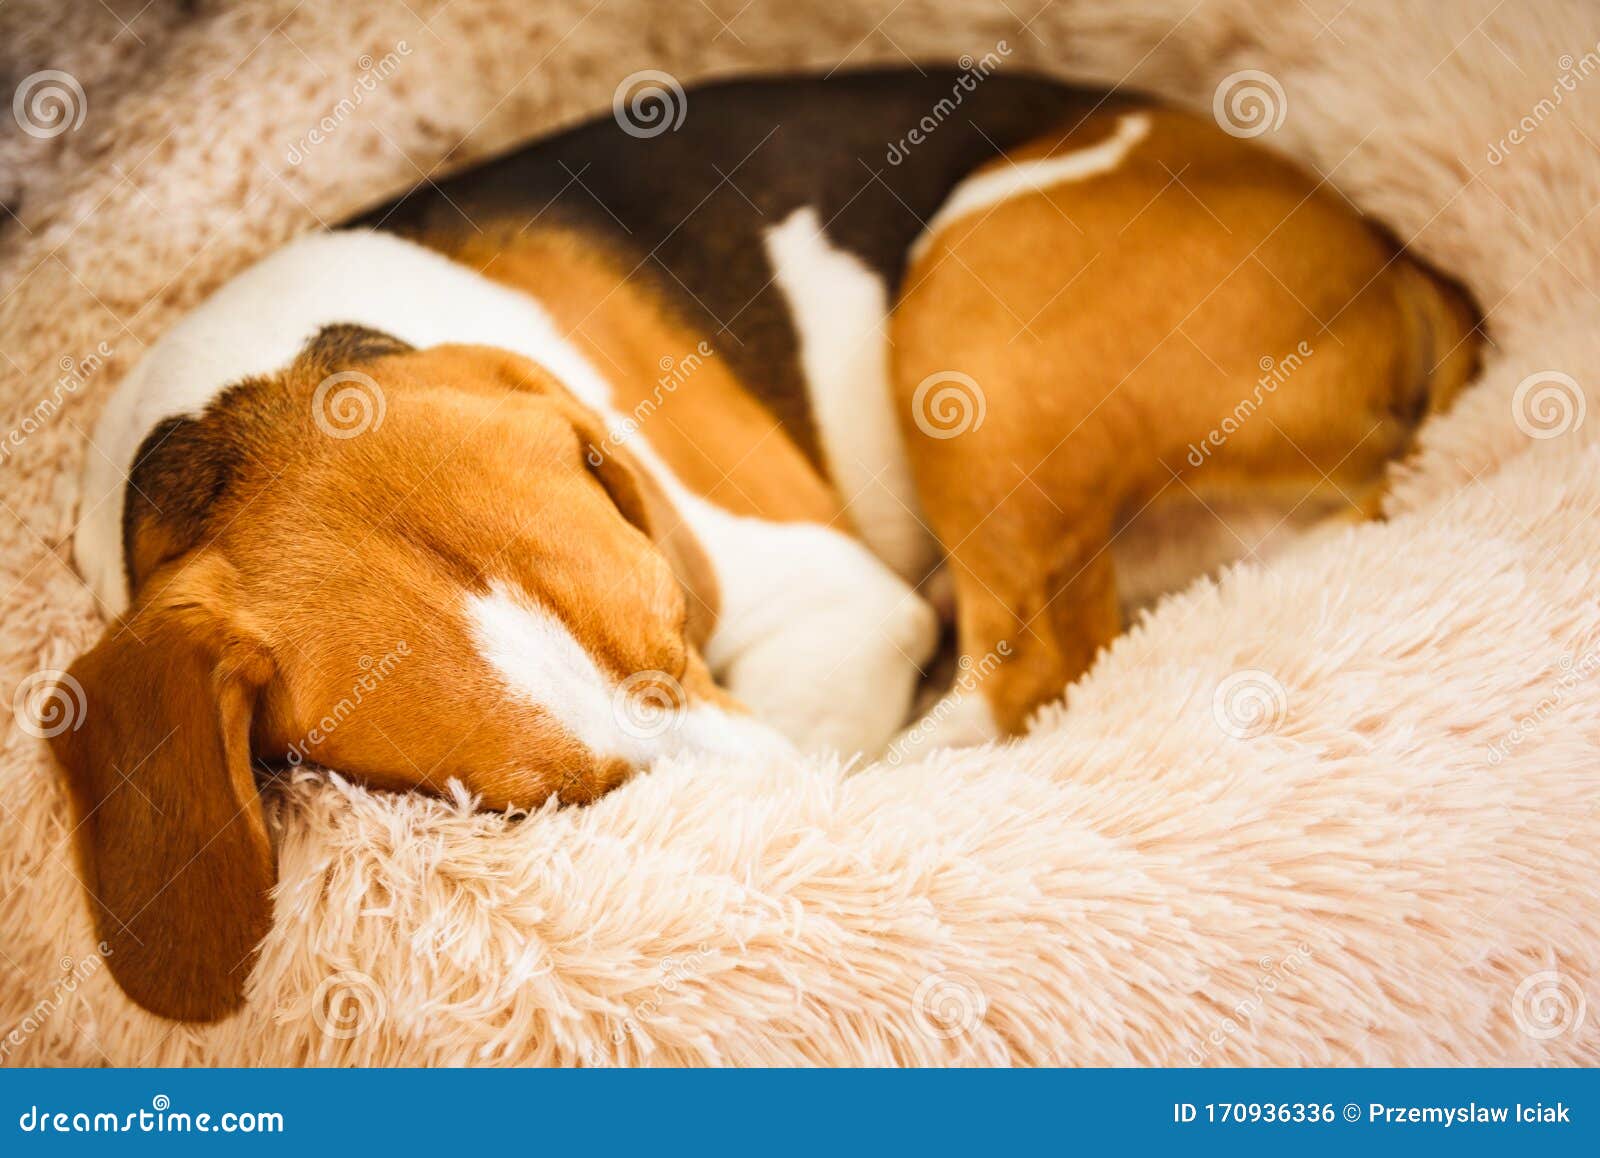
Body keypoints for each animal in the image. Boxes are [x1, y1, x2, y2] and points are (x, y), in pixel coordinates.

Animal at [56, 67, 1478, 1017]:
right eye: (539, 805)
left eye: (679, 625)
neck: (258, 390)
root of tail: (1388, 256)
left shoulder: (842, 607)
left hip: (968, 304)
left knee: (1037, 653)